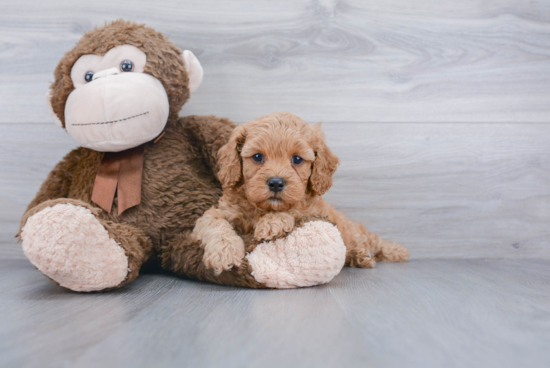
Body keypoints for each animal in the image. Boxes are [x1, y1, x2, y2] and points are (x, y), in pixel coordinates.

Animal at [194, 110, 410, 274]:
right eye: (257, 157)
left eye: (297, 159)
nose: (276, 183)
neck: (262, 208)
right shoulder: (220, 212)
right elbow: (214, 223)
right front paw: (224, 253)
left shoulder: (314, 210)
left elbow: (294, 209)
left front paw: (272, 222)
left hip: (353, 231)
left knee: (372, 241)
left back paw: (386, 252)